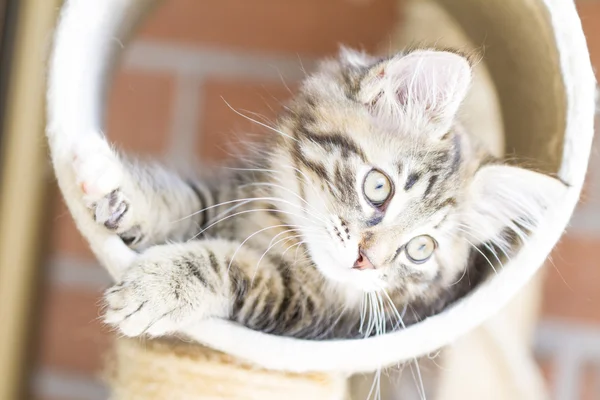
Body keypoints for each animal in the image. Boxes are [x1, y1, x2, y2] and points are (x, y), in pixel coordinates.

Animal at [88, 47, 564, 340]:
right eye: (378, 187)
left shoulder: (302, 304)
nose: (365, 262)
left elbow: (230, 265)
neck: (285, 230)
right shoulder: (236, 192)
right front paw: (119, 189)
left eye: (421, 249)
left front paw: (158, 289)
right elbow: (190, 201)